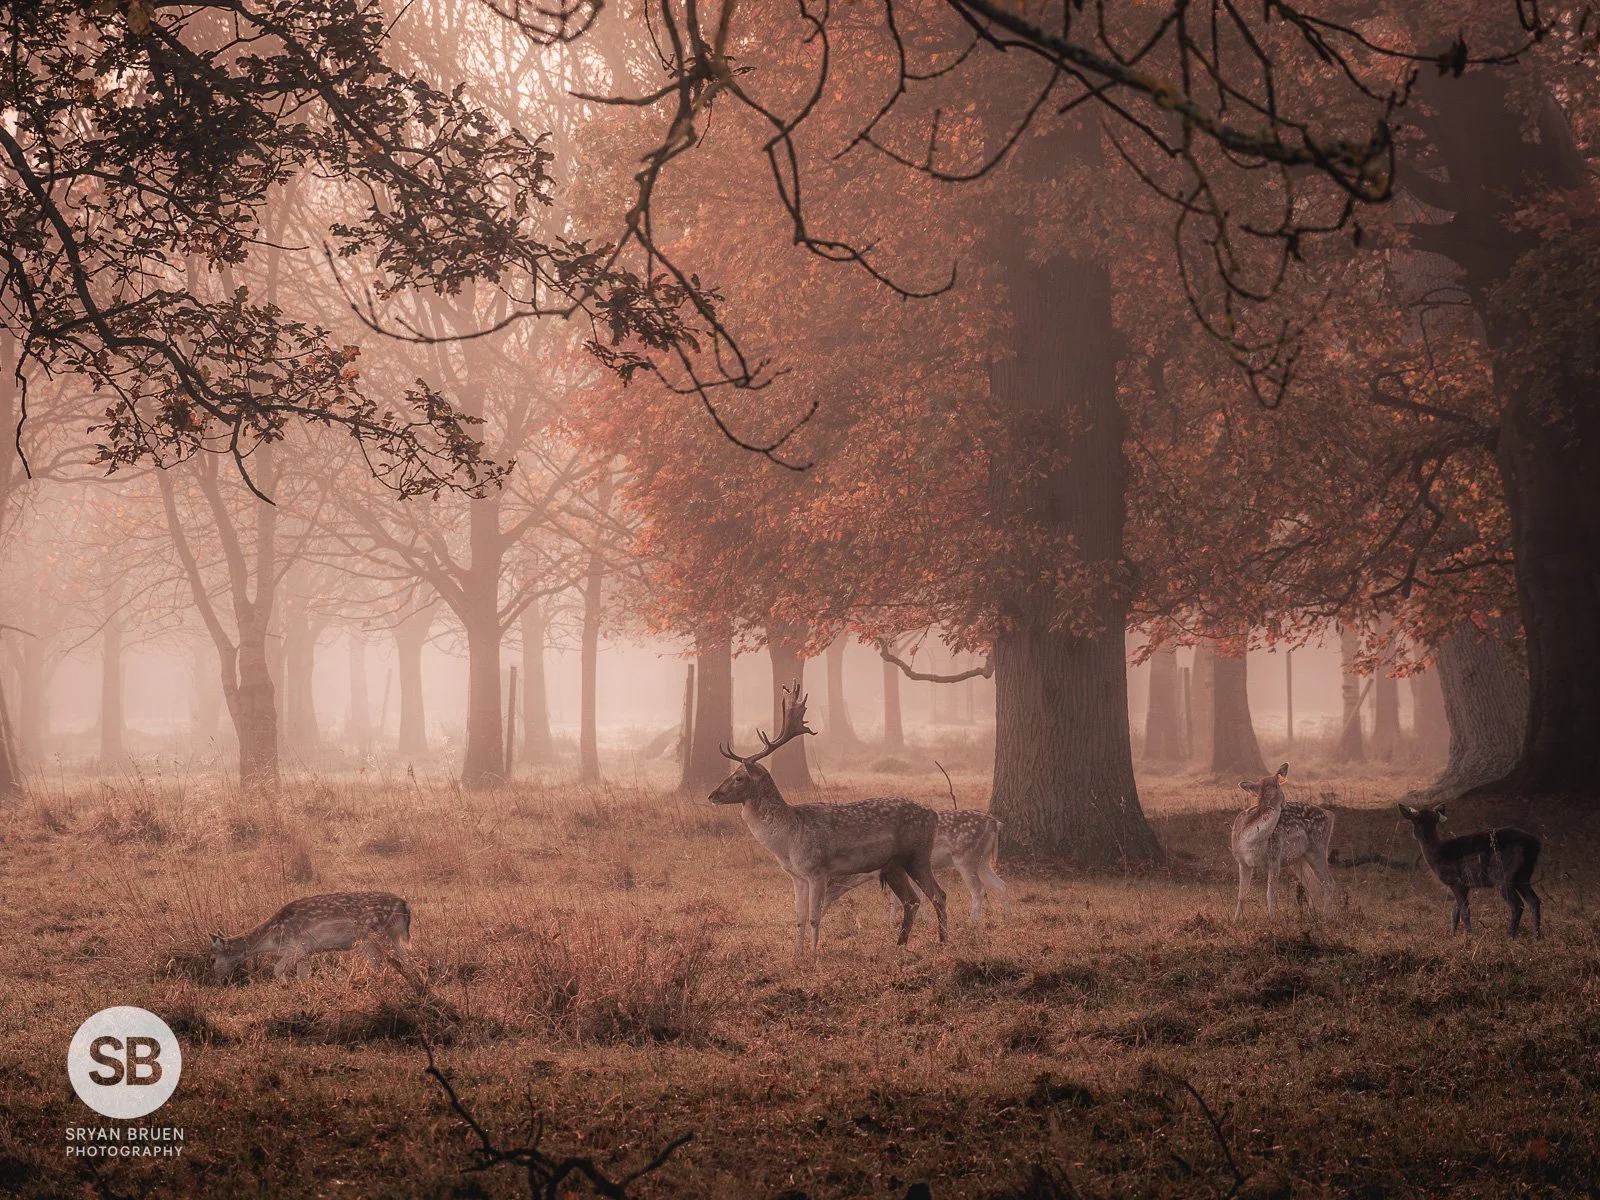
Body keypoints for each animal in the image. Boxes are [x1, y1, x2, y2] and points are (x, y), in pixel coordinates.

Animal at [210, 891, 415, 984]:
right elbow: (303, 976)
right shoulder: (304, 953)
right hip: (389, 937)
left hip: (374, 934)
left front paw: (285, 986)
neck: (273, 939)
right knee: (406, 960)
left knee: (389, 962)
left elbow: (277, 969)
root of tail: (404, 904)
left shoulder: (295, 946)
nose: (215, 978)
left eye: (213, 958)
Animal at [708, 684, 948, 956]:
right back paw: (899, 945)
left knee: (939, 895)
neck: (789, 840)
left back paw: (943, 942)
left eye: (739, 778)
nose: (712, 795)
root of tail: (933, 814)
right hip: (893, 865)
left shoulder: (817, 871)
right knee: (912, 900)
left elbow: (815, 917)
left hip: (918, 855)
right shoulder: (797, 877)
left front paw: (814, 955)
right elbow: (799, 918)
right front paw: (796, 956)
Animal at [822, 807, 1011, 923]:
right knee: (1001, 885)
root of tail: (996, 824)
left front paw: (918, 920)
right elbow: (901, 896)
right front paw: (898, 920)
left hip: (965, 857)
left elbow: (909, 895)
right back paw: (1007, 919)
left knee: (979, 889)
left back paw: (972, 923)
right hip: (983, 861)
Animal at [1230, 763, 1335, 923]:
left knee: (1328, 882)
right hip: (1298, 859)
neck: (1249, 840)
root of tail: (1330, 814)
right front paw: (1235, 921)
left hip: (1318, 847)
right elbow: (1241, 895)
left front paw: (1272, 920)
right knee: (1313, 884)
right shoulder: (1242, 862)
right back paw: (1312, 916)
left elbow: (1270, 894)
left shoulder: (1274, 857)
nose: (1285, 803)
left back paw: (1326, 917)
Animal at [1396, 803, 1542, 937]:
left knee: (1517, 904)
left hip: (1504, 875)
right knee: (1534, 900)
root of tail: (1534, 844)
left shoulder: (1455, 881)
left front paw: (1470, 937)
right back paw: (1536, 936)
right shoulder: (1464, 885)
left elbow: (1465, 911)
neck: (1438, 855)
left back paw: (1510, 936)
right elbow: (1455, 911)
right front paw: (1452, 935)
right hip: (1522, 876)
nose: (1414, 834)